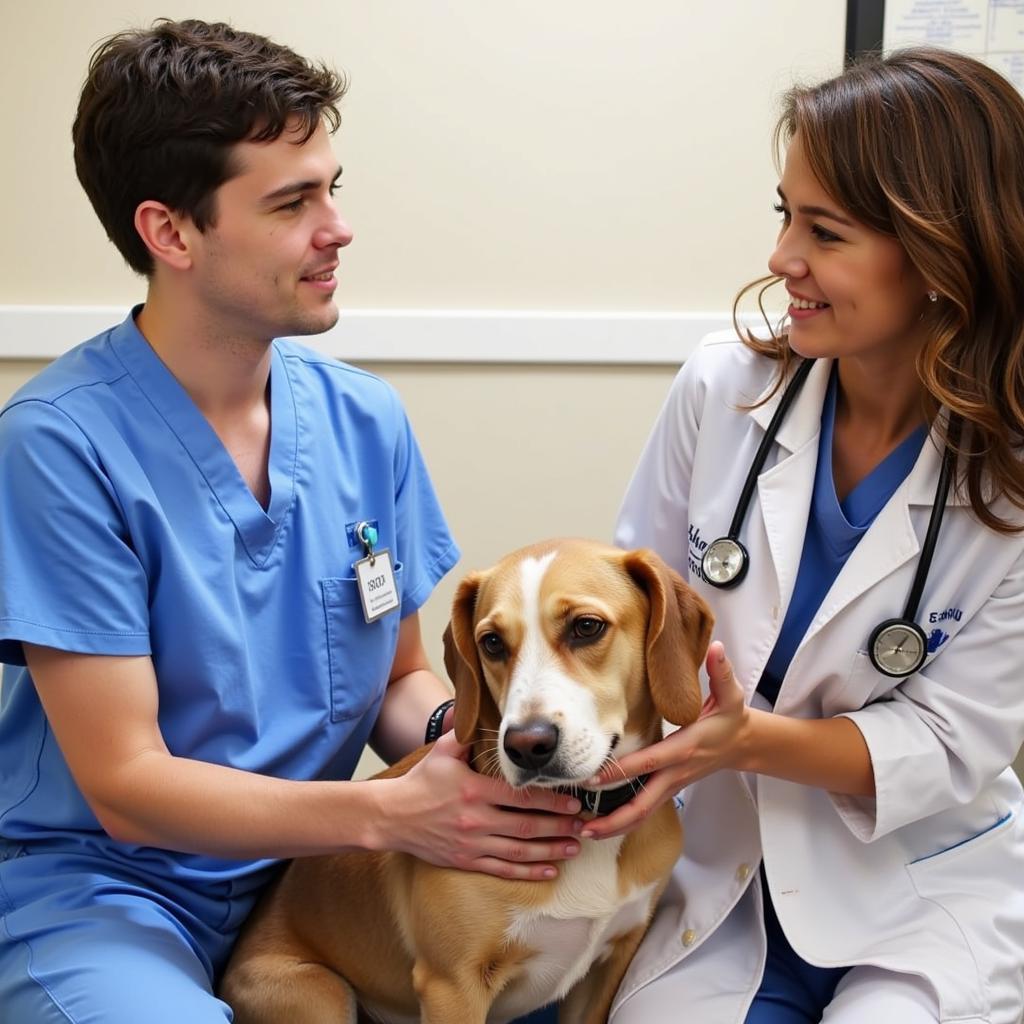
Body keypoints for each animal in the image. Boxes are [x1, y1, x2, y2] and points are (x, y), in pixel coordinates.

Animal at [218, 540, 712, 1019]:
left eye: (586, 627)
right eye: (491, 643)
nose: (526, 745)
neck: (582, 822)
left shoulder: (606, 968)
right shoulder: (451, 985)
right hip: (319, 993)